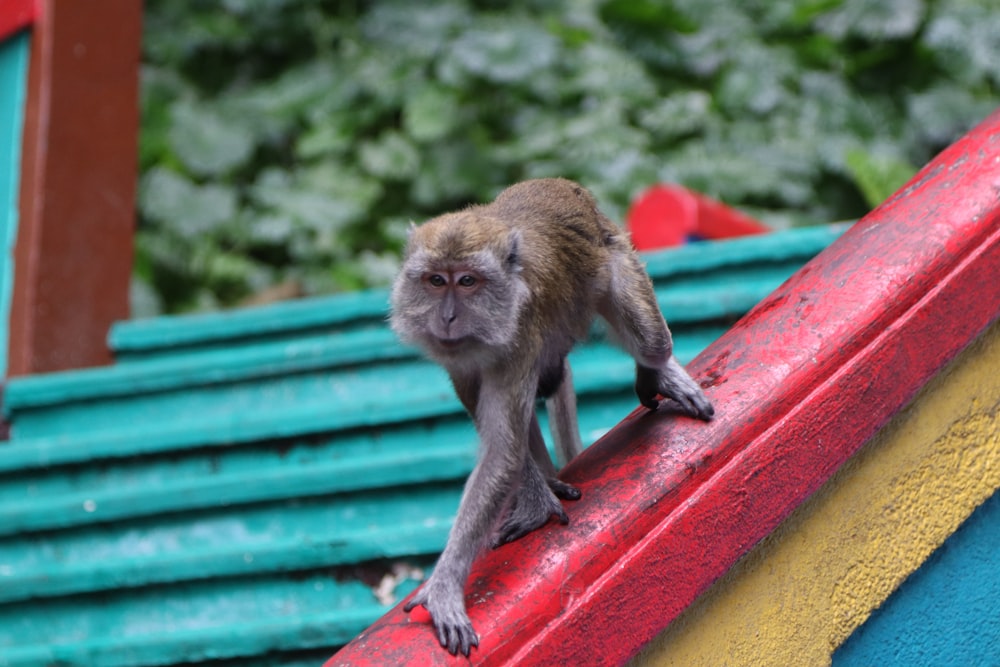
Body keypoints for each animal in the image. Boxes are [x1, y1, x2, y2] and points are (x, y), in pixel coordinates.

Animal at [388, 177, 712, 656]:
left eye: (467, 281)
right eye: (435, 281)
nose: (447, 317)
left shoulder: (519, 334)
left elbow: (502, 452)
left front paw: (443, 586)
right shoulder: (460, 357)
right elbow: (502, 440)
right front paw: (538, 499)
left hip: (617, 255)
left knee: (651, 341)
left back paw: (658, 372)